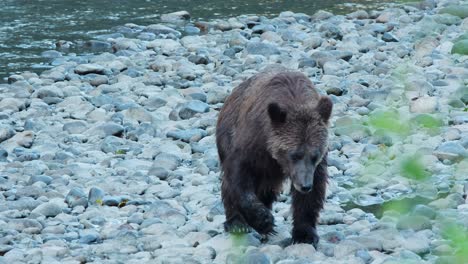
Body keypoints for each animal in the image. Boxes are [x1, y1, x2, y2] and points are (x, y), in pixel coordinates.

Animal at [216, 67, 332, 246]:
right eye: (295, 154)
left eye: (315, 155)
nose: (305, 185)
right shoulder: (251, 142)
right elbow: (238, 178)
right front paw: (263, 221)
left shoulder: (317, 164)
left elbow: (314, 191)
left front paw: (304, 233)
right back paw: (237, 223)